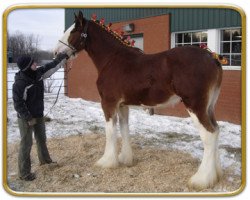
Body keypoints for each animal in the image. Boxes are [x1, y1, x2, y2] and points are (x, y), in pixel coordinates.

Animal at [54, 11, 223, 191]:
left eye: (73, 31)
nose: (56, 52)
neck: (112, 59)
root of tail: (212, 57)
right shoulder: (122, 105)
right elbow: (124, 128)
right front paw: (125, 158)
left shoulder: (108, 103)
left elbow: (110, 131)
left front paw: (107, 161)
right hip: (209, 107)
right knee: (216, 130)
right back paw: (216, 176)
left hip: (195, 106)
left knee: (209, 134)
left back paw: (201, 179)